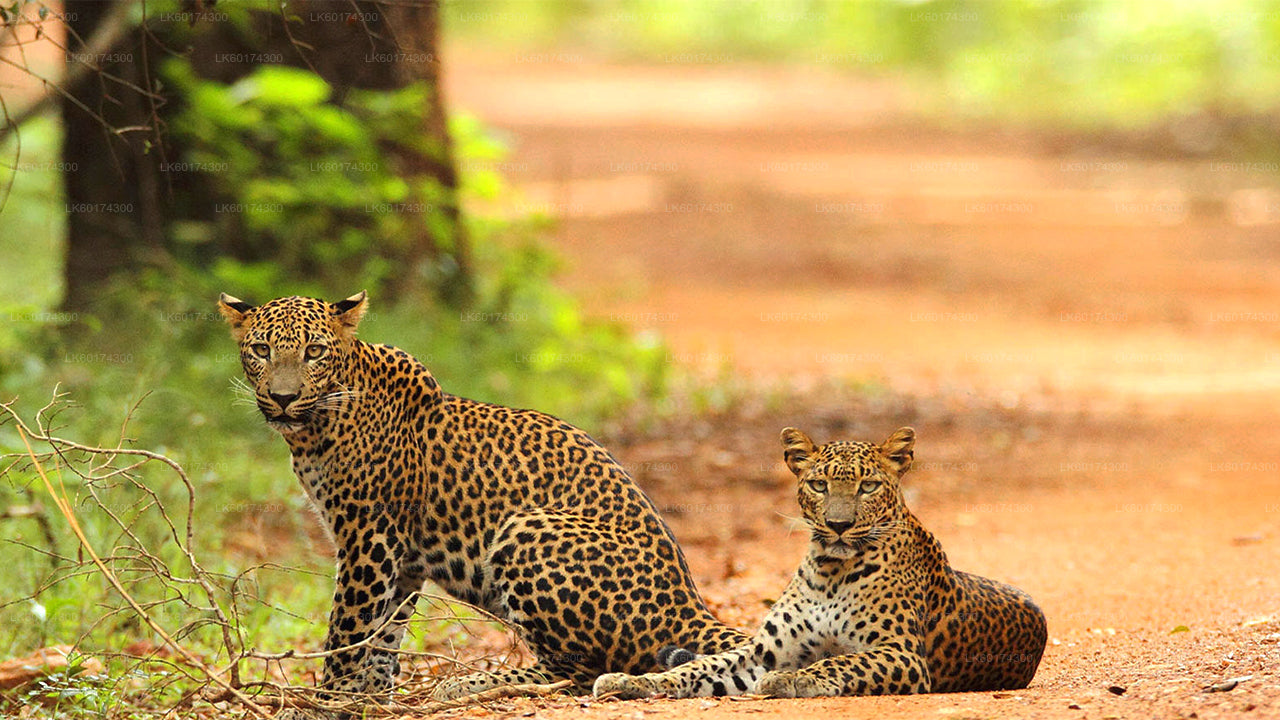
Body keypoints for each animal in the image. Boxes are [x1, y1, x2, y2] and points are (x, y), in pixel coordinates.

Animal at [216, 292, 747, 702]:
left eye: (314, 351)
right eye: (261, 349)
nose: (283, 397)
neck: (315, 429)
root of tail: (689, 602)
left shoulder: (369, 540)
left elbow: (348, 630)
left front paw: (325, 701)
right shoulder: (401, 559)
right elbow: (385, 635)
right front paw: (372, 698)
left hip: (528, 527)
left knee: (581, 670)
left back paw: (472, 683)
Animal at [593, 425, 1044, 696]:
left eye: (868, 486)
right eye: (819, 485)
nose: (838, 525)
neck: (831, 570)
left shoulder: (901, 653)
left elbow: (841, 663)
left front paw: (792, 678)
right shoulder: (761, 652)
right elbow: (698, 669)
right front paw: (633, 681)